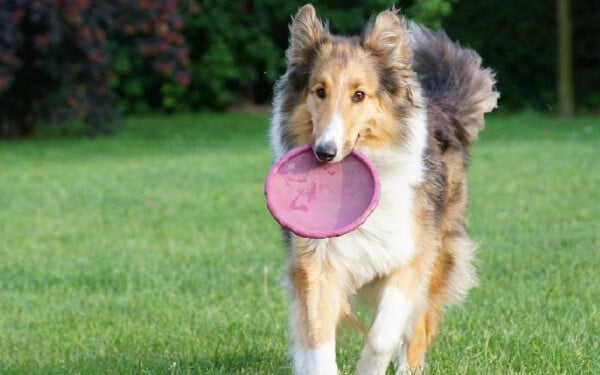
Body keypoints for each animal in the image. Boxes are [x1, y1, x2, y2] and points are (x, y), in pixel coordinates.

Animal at [270, 4, 500, 374]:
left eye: (359, 95)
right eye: (319, 91)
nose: (324, 152)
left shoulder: (409, 258)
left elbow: (382, 336)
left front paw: (368, 367)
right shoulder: (315, 265)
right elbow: (318, 340)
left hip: (439, 256)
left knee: (418, 327)